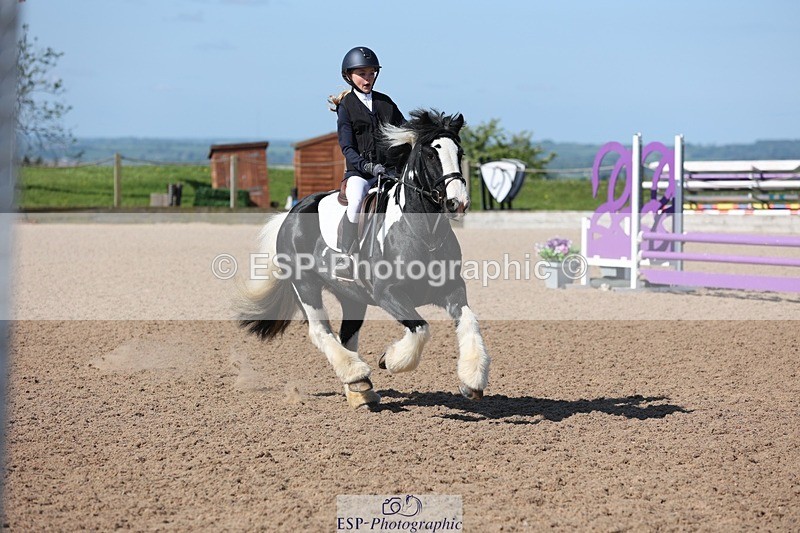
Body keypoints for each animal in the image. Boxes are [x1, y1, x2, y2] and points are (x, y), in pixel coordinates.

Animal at [235, 109, 490, 409]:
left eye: (459, 152)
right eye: (430, 154)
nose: (457, 203)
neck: (424, 233)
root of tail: (292, 214)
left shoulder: (451, 289)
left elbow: (469, 322)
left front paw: (472, 380)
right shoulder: (388, 294)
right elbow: (420, 329)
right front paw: (390, 360)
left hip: (352, 297)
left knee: (347, 336)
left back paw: (360, 390)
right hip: (306, 285)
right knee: (321, 332)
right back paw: (356, 373)